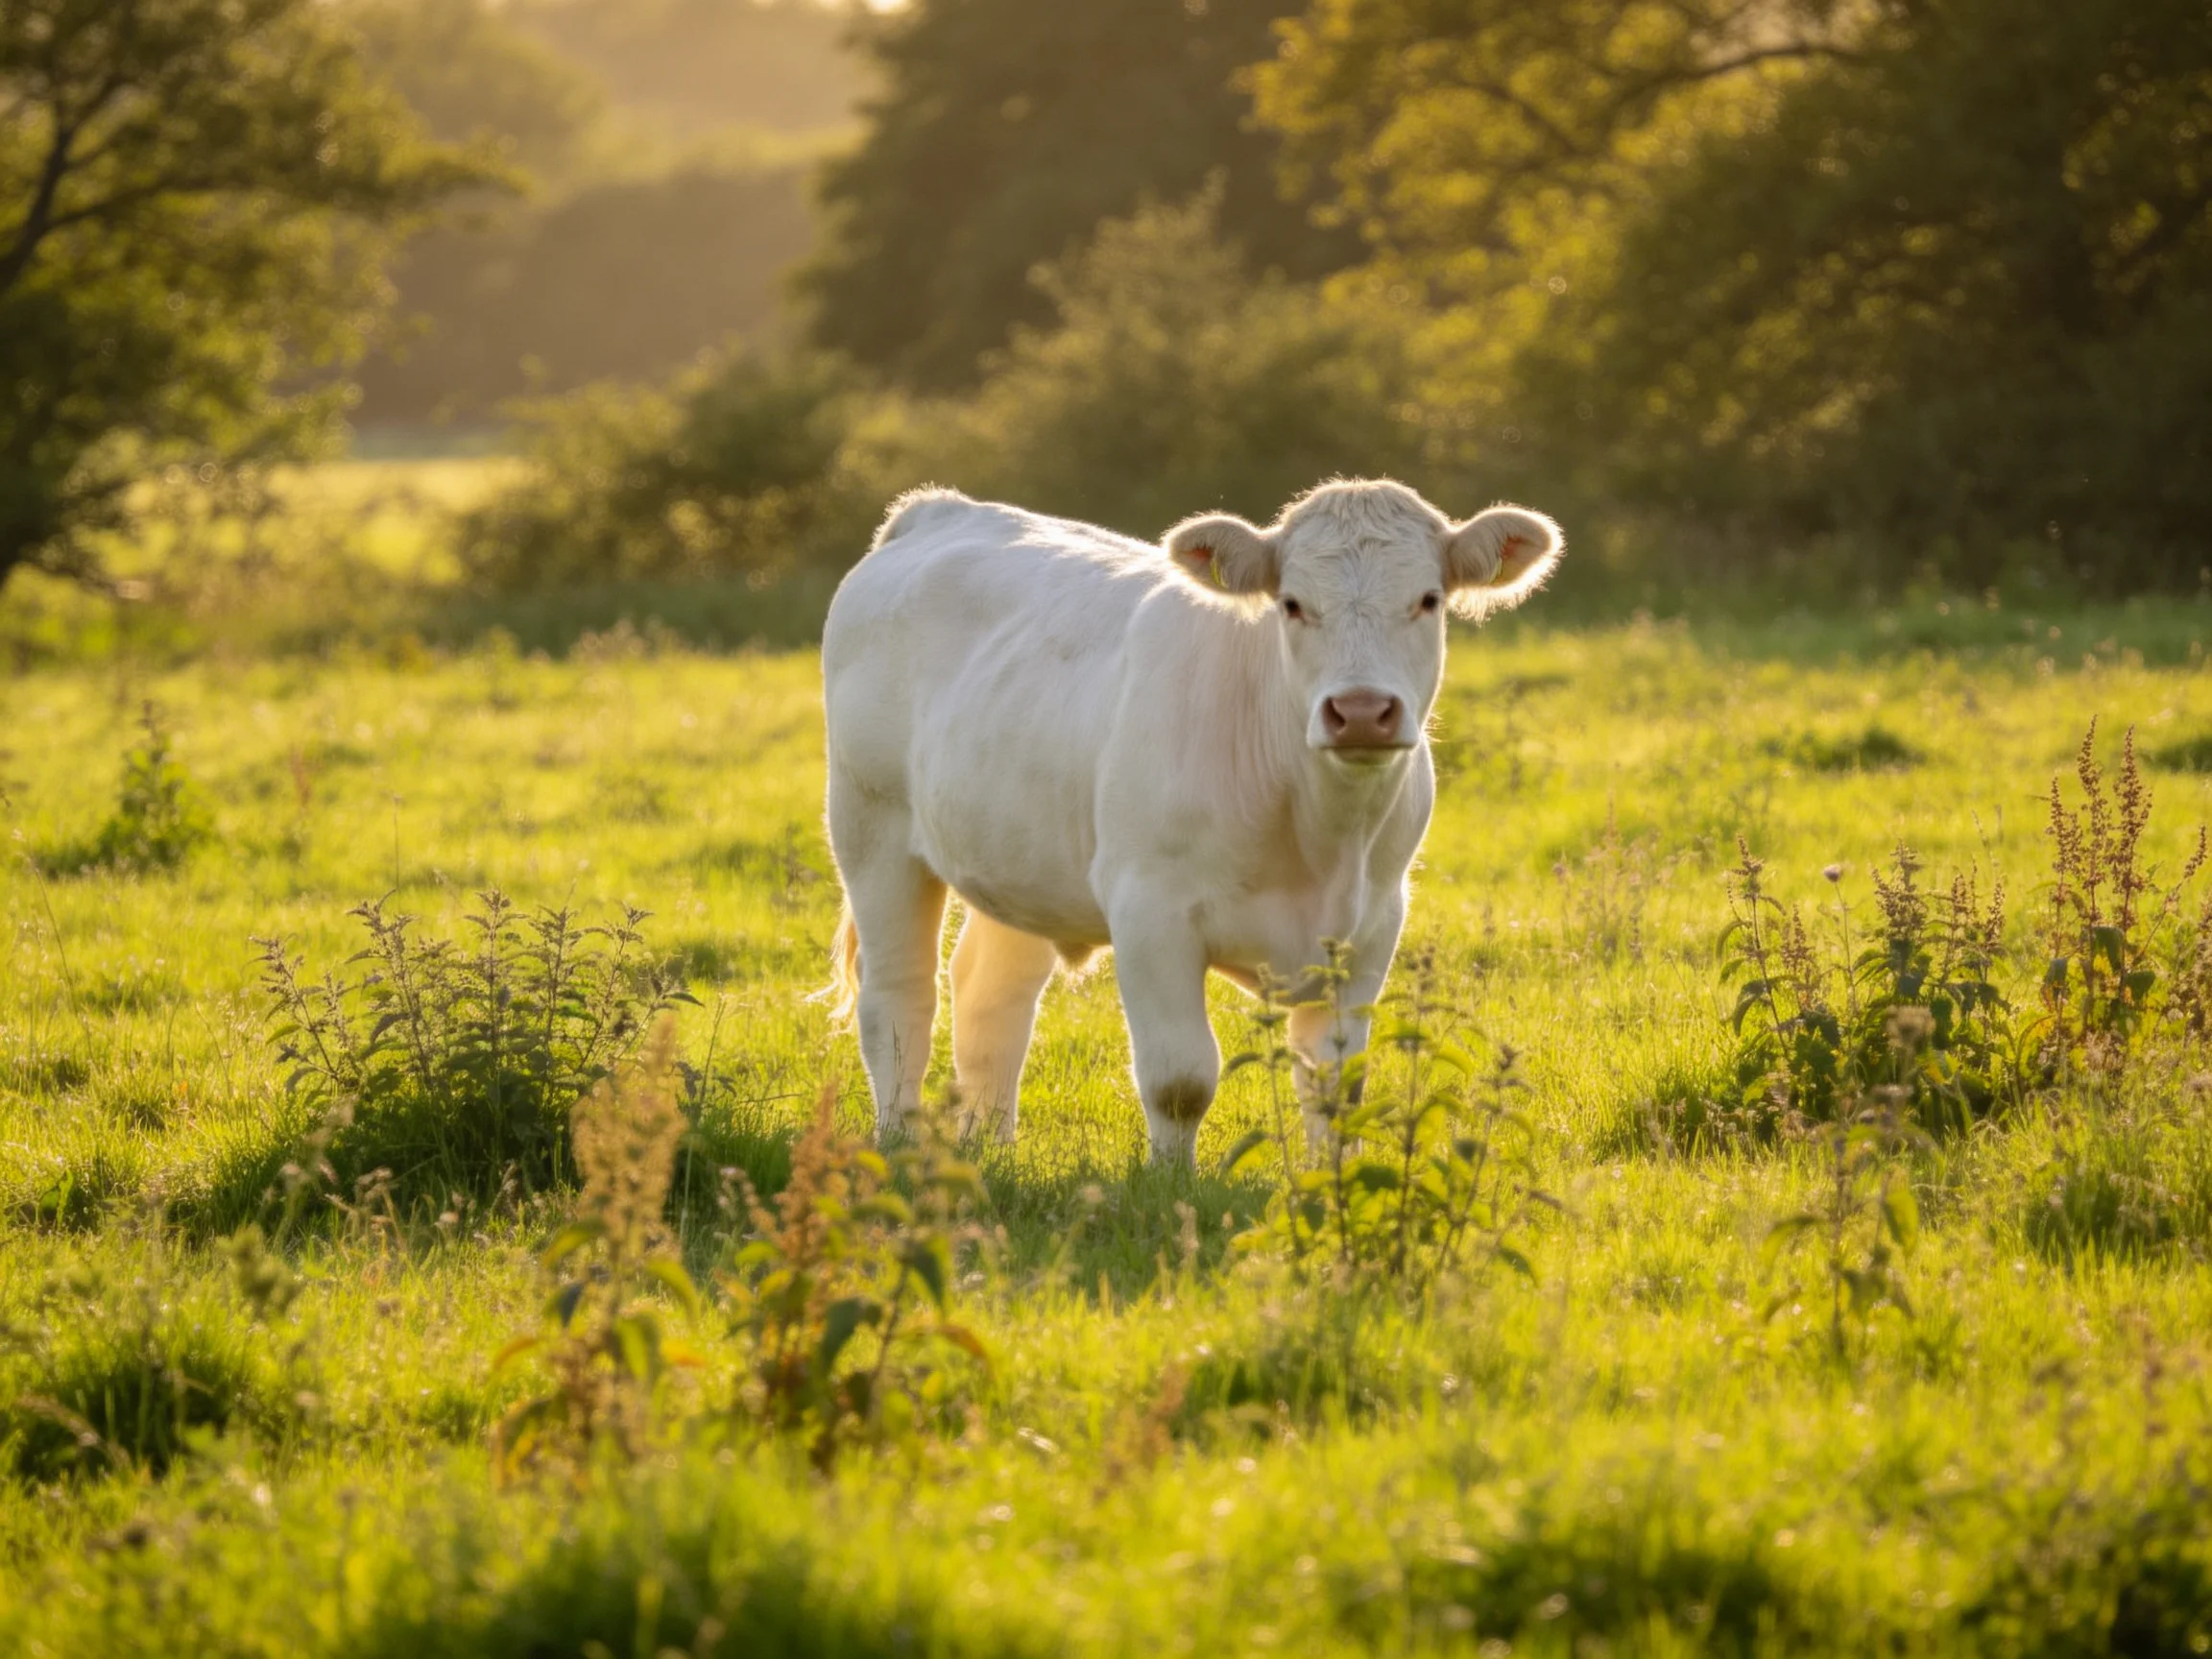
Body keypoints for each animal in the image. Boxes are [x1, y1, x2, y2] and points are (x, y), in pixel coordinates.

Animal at [820, 478, 1563, 1164]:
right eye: (1293, 604)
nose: (1359, 712)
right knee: (899, 1001)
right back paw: (897, 1142)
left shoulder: (1373, 925)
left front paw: (1329, 1184)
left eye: (1428, 599)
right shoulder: (1151, 910)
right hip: (872, 828)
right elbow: (1180, 1078)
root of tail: (940, 509)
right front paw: (1171, 1183)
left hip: (1018, 856)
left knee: (989, 993)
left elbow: (1335, 1081)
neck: (1320, 836)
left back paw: (987, 1146)